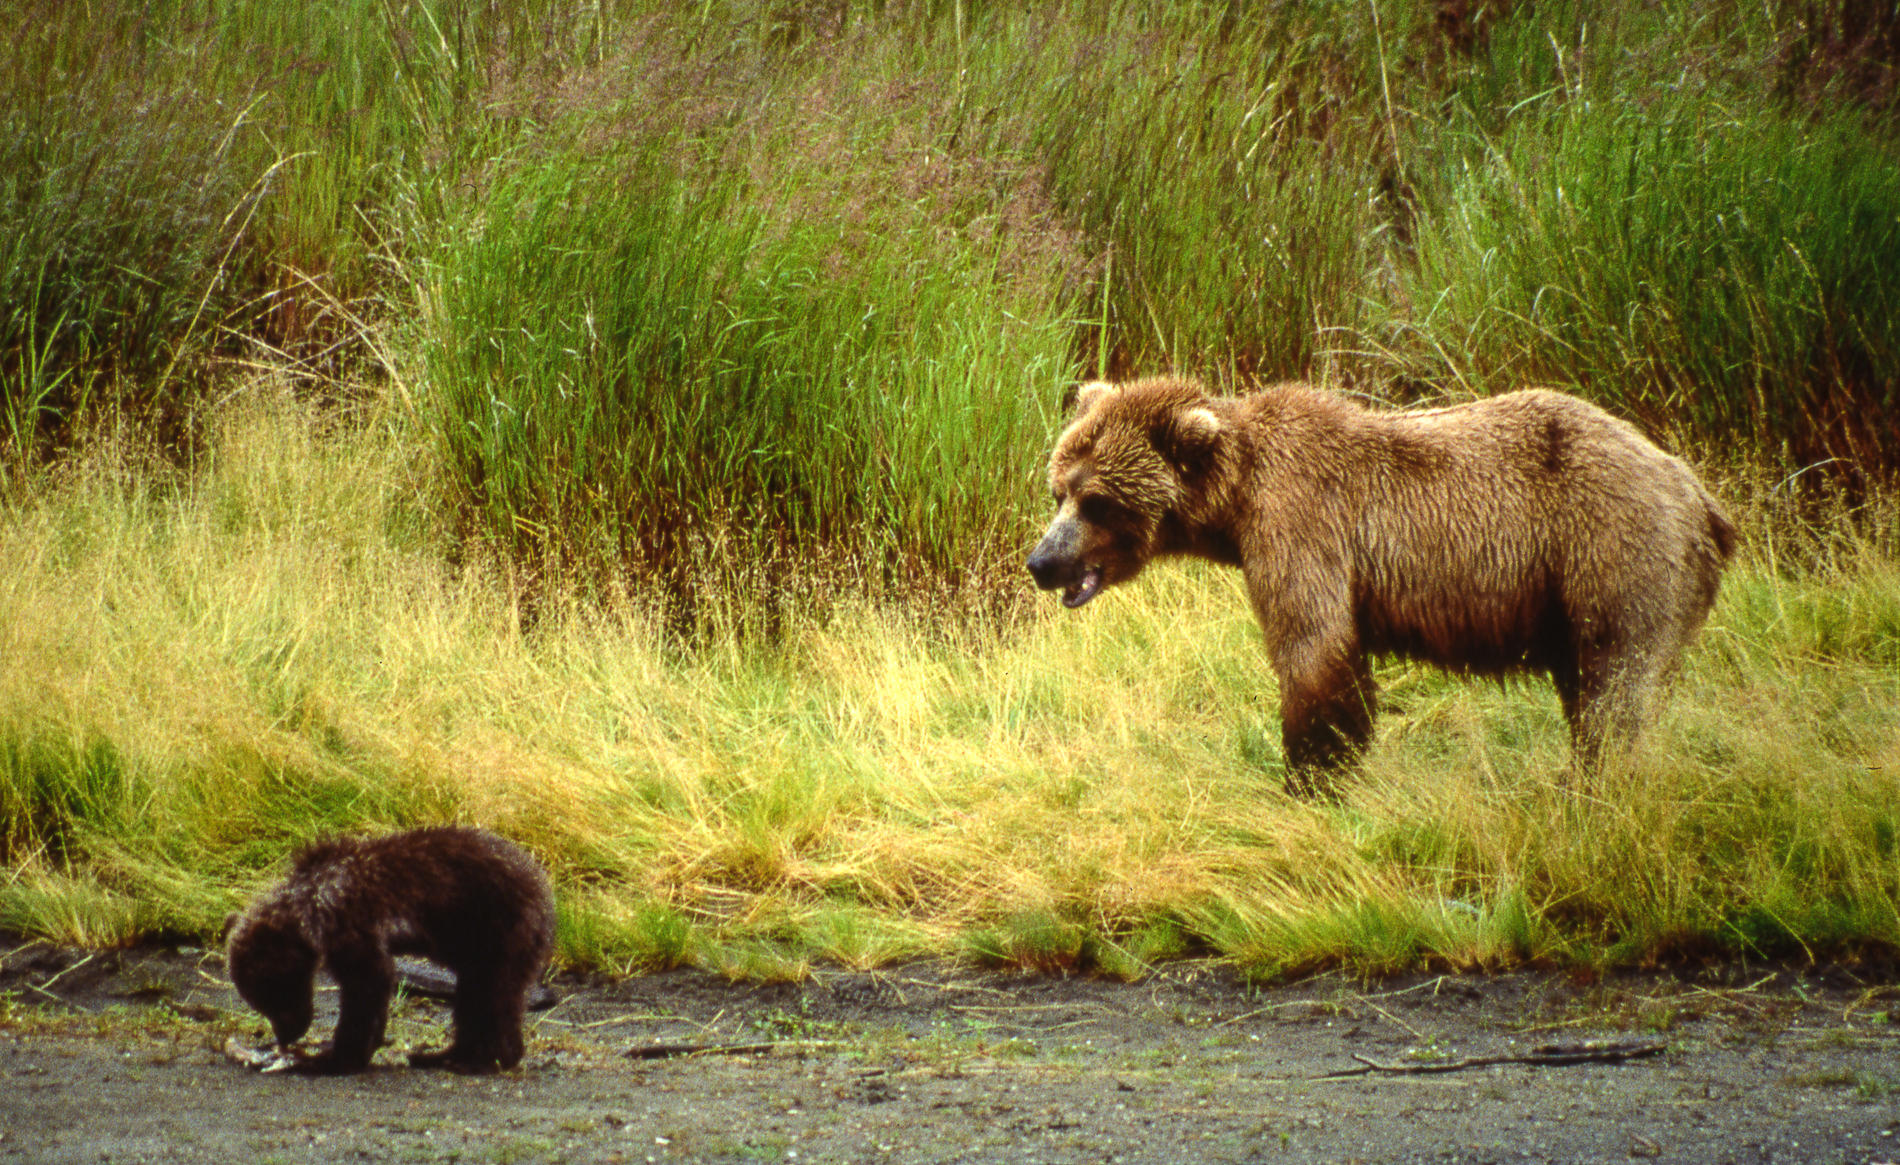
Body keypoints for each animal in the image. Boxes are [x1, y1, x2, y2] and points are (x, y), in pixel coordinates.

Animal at [1033, 376, 1732, 794]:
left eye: (1097, 502)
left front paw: (1310, 777)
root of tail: (1699, 494)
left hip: (1610, 545)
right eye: (1059, 490)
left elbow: (1315, 651)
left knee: (1615, 683)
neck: (1234, 502)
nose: (1042, 562)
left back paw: (1592, 785)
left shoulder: (1301, 524)